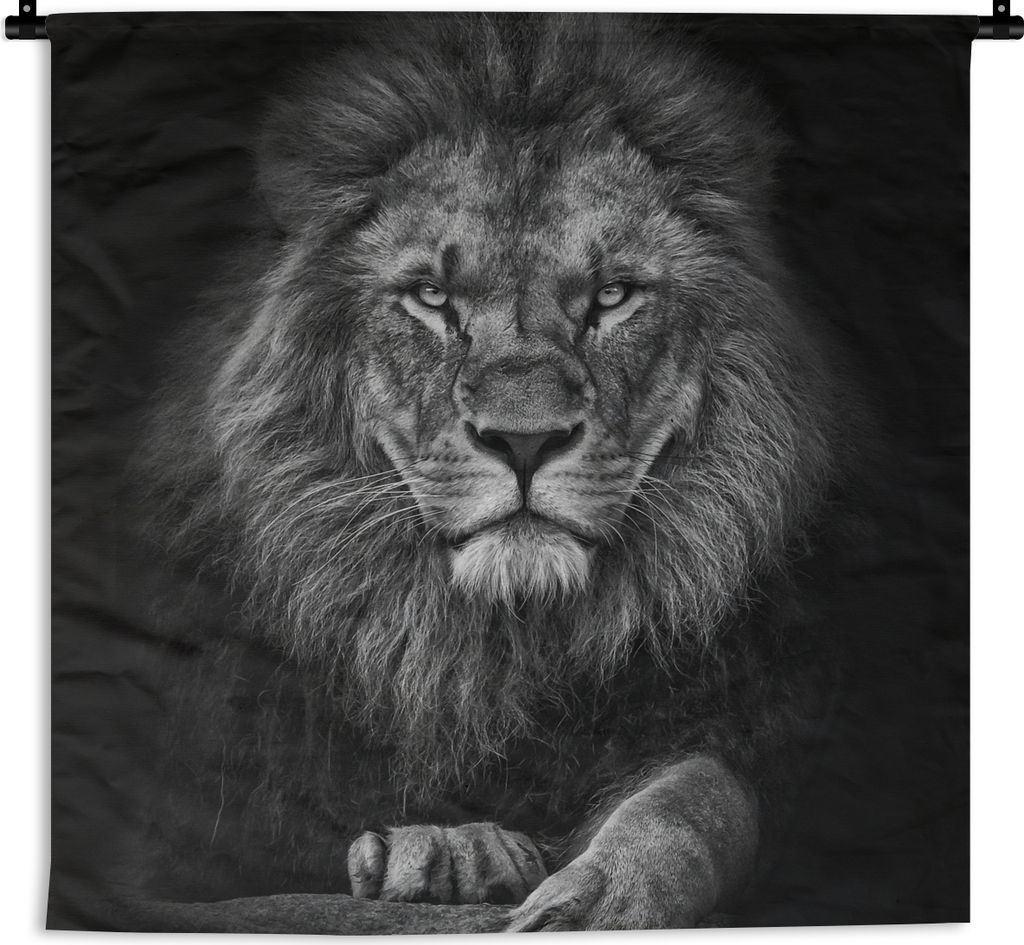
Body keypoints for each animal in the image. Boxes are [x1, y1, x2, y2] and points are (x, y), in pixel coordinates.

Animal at [136, 13, 850, 931]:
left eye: (612, 295)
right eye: (432, 297)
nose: (524, 440)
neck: (487, 652)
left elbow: (701, 792)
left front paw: (604, 894)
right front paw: (443, 848)